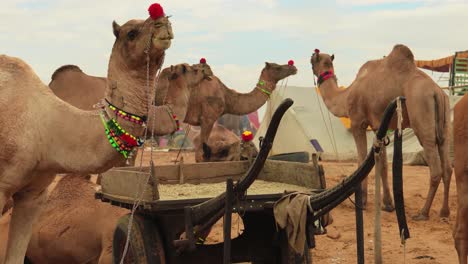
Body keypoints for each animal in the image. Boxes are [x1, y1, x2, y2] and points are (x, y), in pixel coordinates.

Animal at [308, 44, 452, 220]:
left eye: (312, 60)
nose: (309, 59)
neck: (346, 95)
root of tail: (437, 92)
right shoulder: (379, 127)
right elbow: (382, 164)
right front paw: (388, 204)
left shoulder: (358, 123)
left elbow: (361, 159)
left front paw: (362, 201)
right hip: (445, 123)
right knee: (447, 166)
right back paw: (444, 211)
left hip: (422, 117)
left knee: (435, 167)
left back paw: (423, 213)